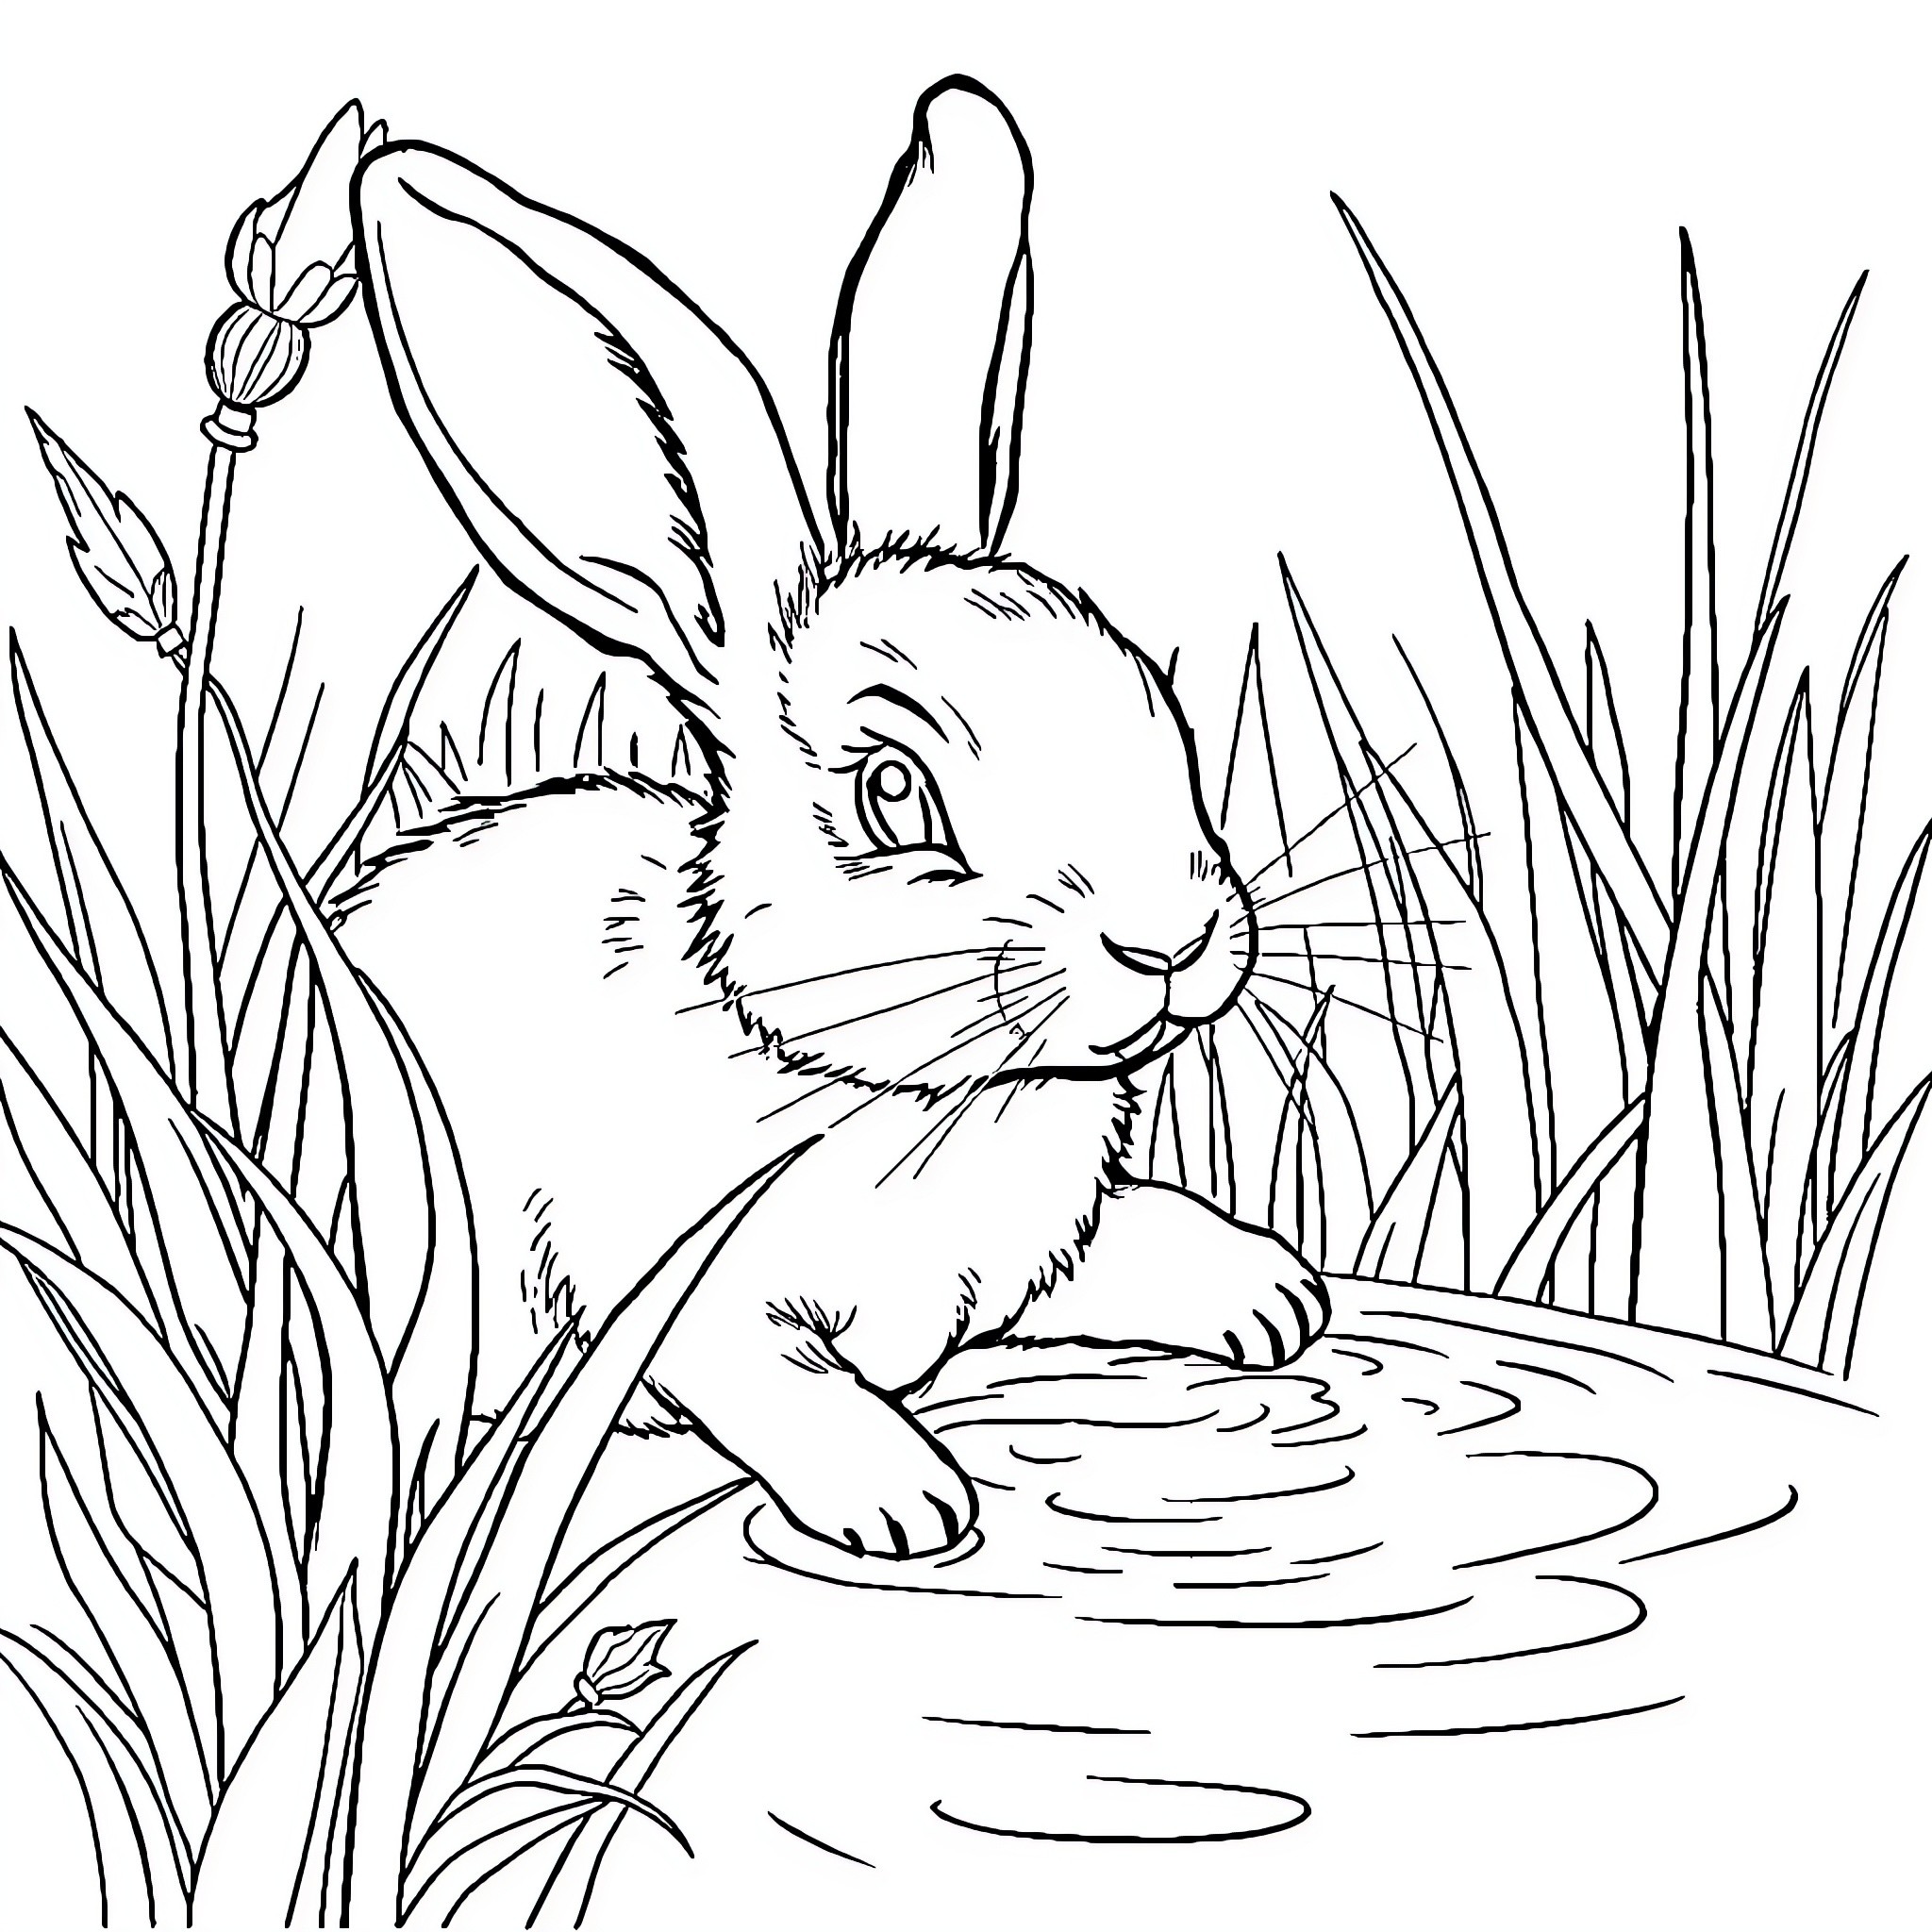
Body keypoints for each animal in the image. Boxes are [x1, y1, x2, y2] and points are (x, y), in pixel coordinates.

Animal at [335, 76, 1330, 1560]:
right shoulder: (673, 1302)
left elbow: (1117, 1244)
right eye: (892, 790)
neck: (907, 1088)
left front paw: (1267, 1294)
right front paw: (906, 1499)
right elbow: (777, 1378)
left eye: (1158, 709)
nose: (1167, 943)